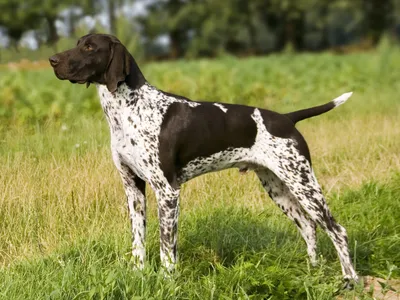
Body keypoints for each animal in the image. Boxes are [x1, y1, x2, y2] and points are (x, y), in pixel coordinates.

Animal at [48, 33, 358, 284]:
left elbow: (166, 248)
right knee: (309, 227)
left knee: (337, 230)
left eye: (89, 47)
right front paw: (138, 275)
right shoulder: (133, 188)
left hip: (303, 184)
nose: (52, 60)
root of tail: (286, 118)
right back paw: (312, 272)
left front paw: (167, 281)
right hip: (277, 186)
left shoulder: (167, 192)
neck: (129, 109)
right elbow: (138, 242)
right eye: (77, 43)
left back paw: (350, 280)